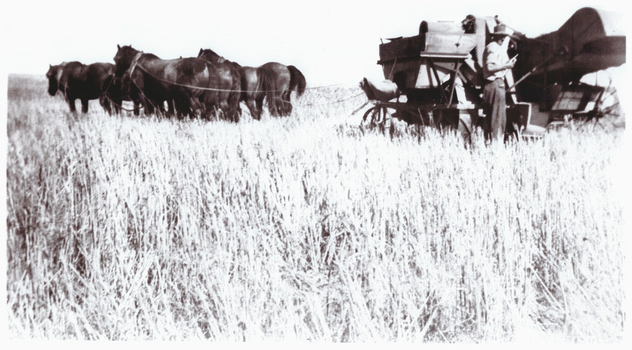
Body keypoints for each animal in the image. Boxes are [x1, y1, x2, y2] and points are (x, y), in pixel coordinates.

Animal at [113, 45, 242, 119]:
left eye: (116, 58)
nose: (115, 77)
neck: (138, 64)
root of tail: (207, 64)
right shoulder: (157, 97)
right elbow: (159, 111)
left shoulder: (142, 94)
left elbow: (148, 111)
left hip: (192, 97)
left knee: (201, 111)